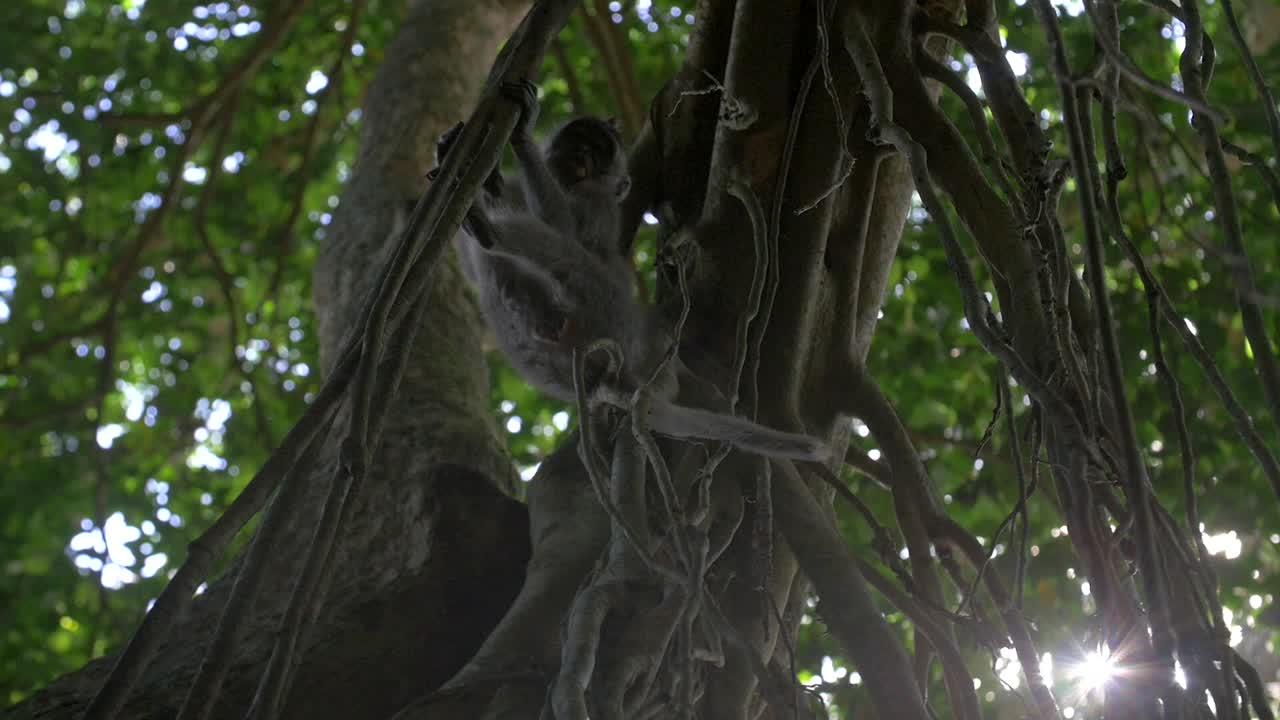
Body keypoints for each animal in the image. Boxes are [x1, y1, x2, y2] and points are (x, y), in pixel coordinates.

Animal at [434, 80, 828, 462]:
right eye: (579, 140)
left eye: (598, 152)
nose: (582, 154)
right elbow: (474, 268)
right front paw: (462, 159)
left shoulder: (596, 201)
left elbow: (565, 230)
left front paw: (520, 135)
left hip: (608, 314)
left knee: (562, 256)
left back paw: (491, 232)